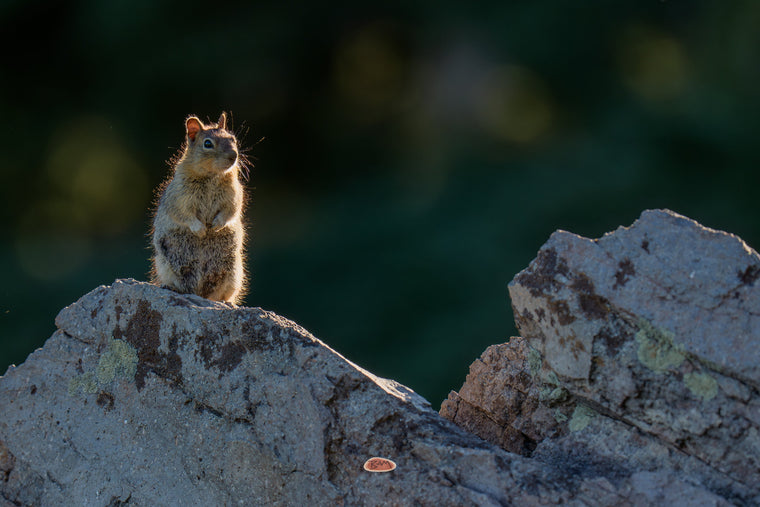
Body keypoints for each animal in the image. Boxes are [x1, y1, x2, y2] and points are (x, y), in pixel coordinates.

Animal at [151, 112, 248, 304]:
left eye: (232, 139)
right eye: (207, 144)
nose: (233, 156)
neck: (212, 176)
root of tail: (199, 292)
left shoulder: (234, 195)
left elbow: (230, 211)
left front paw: (217, 225)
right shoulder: (179, 198)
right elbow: (184, 215)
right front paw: (200, 229)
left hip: (234, 274)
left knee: (222, 295)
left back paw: (226, 302)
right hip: (165, 266)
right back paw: (171, 287)